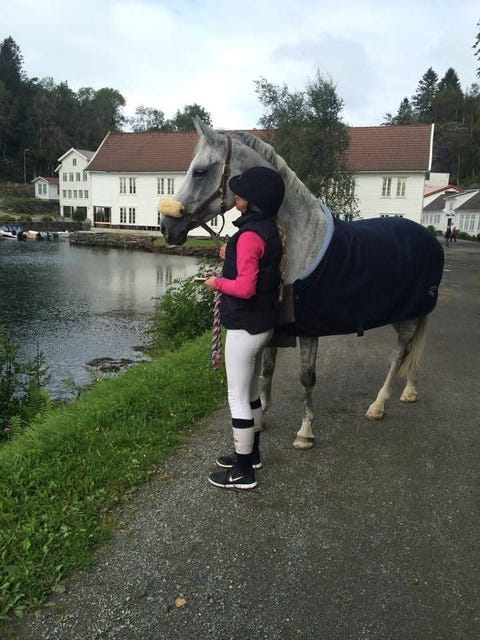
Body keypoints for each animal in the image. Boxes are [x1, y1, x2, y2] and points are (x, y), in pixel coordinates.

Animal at [158, 118, 444, 450]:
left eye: (200, 171)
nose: (166, 226)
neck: (298, 241)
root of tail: (428, 238)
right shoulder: (274, 322)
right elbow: (267, 369)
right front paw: (262, 419)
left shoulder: (309, 329)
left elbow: (307, 378)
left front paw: (305, 432)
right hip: (403, 313)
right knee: (409, 349)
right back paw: (409, 390)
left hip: (410, 314)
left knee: (398, 353)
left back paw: (378, 405)